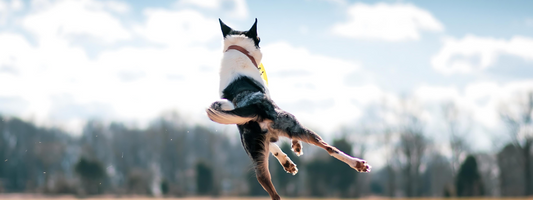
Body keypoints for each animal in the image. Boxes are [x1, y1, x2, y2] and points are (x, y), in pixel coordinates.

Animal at [206, 18, 372, 200]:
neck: (238, 51)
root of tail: (256, 106)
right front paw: (296, 146)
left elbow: (274, 147)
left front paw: (287, 163)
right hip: (297, 126)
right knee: (329, 148)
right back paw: (357, 163)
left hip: (255, 154)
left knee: (270, 188)